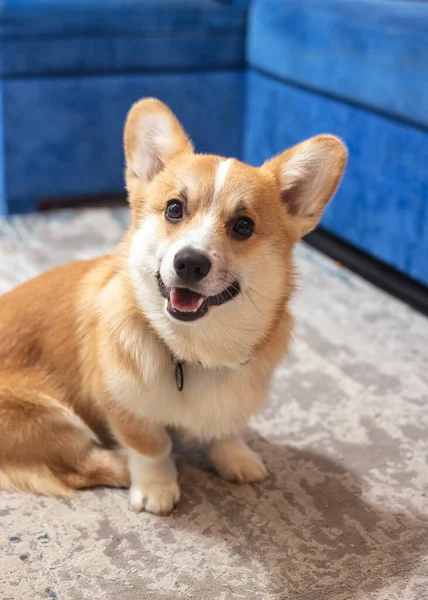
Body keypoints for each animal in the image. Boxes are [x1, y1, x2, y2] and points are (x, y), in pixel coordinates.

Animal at [0, 98, 348, 516]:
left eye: (244, 226)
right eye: (174, 209)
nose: (190, 263)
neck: (193, 349)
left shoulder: (235, 399)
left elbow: (227, 430)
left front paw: (235, 457)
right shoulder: (123, 404)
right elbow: (152, 447)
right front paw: (157, 486)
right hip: (50, 418)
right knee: (80, 465)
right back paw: (122, 464)